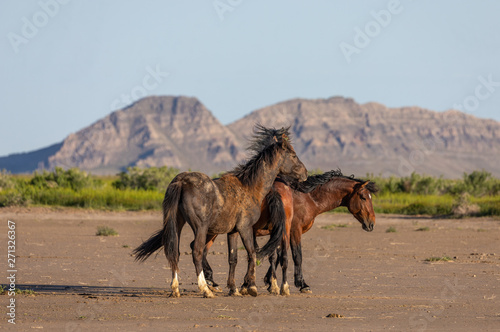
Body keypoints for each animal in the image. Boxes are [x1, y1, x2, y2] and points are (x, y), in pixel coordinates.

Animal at [133, 125, 306, 298]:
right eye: (293, 155)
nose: (305, 173)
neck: (249, 187)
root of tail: (182, 181)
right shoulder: (245, 228)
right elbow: (252, 253)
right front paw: (251, 287)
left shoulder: (233, 232)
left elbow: (233, 258)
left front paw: (234, 288)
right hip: (201, 228)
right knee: (197, 252)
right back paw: (205, 289)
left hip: (177, 224)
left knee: (174, 252)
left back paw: (176, 289)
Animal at [201, 170, 376, 294]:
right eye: (363, 197)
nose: (372, 224)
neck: (306, 198)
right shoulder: (294, 231)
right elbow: (296, 256)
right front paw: (302, 284)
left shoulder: (278, 232)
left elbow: (276, 256)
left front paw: (269, 282)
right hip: (214, 230)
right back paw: (210, 281)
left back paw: (212, 282)